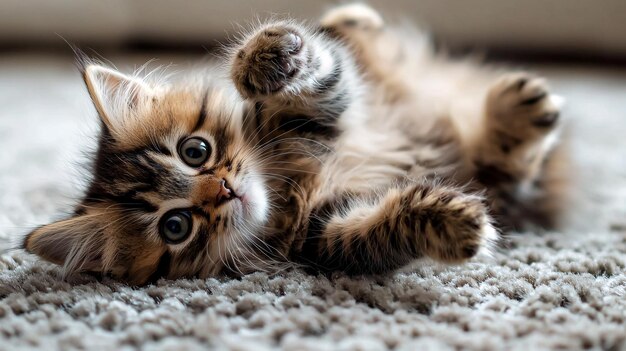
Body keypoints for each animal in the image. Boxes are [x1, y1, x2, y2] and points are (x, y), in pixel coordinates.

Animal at [24, 4, 564, 284]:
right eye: (175, 226)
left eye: (195, 151)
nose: (224, 191)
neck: (288, 191)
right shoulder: (324, 237)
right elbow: (380, 229)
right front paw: (454, 221)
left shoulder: (324, 112)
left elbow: (325, 72)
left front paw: (265, 58)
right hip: (495, 181)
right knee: (508, 169)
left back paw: (352, 21)